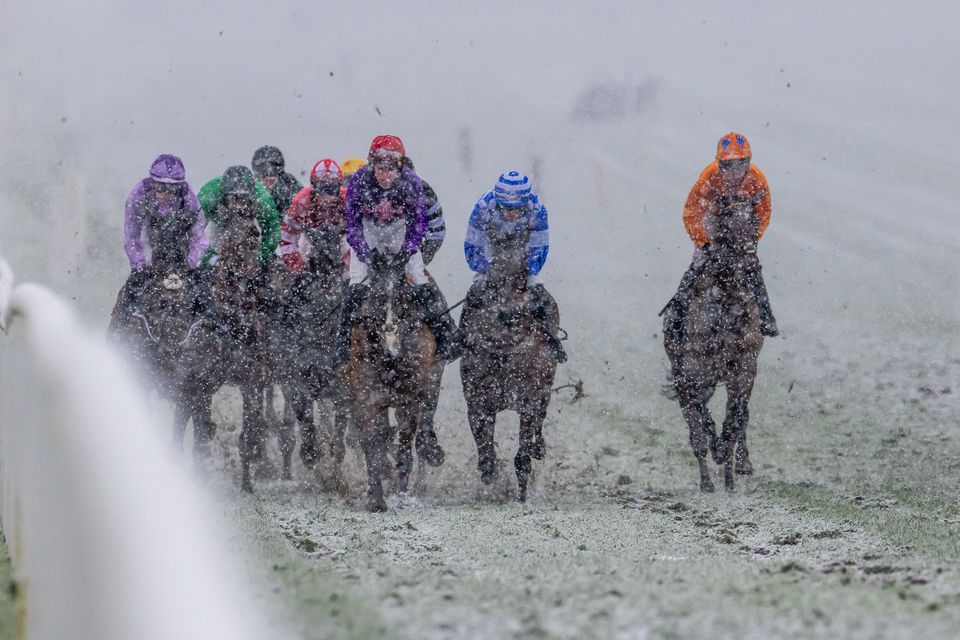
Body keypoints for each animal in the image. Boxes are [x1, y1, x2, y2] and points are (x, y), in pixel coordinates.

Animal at [344, 252, 436, 508]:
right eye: (377, 297)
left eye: (403, 298)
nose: (391, 346)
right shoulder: (368, 399)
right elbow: (372, 443)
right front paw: (376, 497)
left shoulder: (409, 401)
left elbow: (403, 447)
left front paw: (401, 495)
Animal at [462, 228, 560, 502]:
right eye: (492, 283)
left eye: (522, 281)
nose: (507, 315)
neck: (504, 351)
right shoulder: (478, 401)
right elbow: (485, 451)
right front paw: (489, 475)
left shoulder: (528, 400)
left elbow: (523, 455)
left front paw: (521, 494)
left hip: (545, 389)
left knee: (540, 419)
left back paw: (539, 448)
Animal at [660, 202, 764, 492]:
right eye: (728, 227)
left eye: (754, 225)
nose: (751, 263)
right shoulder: (692, 372)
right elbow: (700, 425)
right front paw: (708, 478)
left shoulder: (743, 368)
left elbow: (735, 419)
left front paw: (729, 473)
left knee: (739, 415)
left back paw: (740, 462)